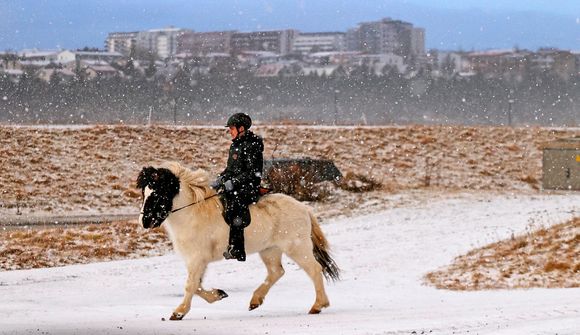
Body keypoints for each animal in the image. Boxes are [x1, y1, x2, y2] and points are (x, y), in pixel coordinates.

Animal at [137, 161, 340, 322]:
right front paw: (218, 294)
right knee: (276, 272)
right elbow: (197, 286)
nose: (144, 221)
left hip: (297, 248)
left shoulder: (197, 259)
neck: (192, 213)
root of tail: (304, 209)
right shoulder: (198, 261)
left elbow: (190, 286)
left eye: (159, 193)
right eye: (144, 193)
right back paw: (255, 301)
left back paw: (318, 305)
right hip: (270, 250)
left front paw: (178, 313)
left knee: (314, 270)